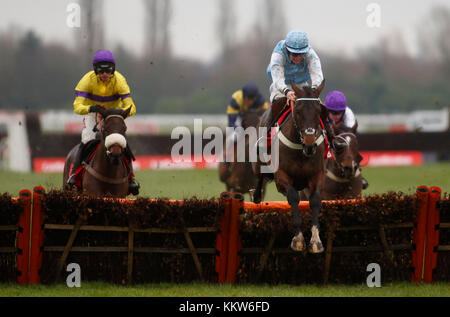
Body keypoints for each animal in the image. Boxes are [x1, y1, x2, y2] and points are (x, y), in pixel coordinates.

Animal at [253, 81, 326, 252]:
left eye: (318, 111)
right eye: (298, 111)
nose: (310, 144)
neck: (300, 149)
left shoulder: (317, 175)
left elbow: (315, 200)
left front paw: (316, 241)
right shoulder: (281, 176)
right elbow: (293, 197)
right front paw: (298, 239)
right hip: (259, 165)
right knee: (259, 182)